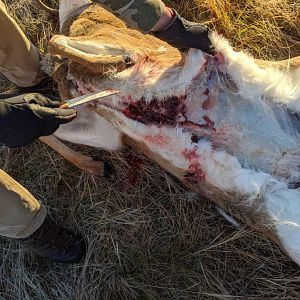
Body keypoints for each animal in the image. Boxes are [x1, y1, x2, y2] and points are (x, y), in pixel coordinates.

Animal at [41, 0, 300, 264]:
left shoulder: (110, 41)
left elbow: (58, 42)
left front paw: (118, 62)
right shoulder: (109, 134)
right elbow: (52, 125)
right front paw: (96, 165)